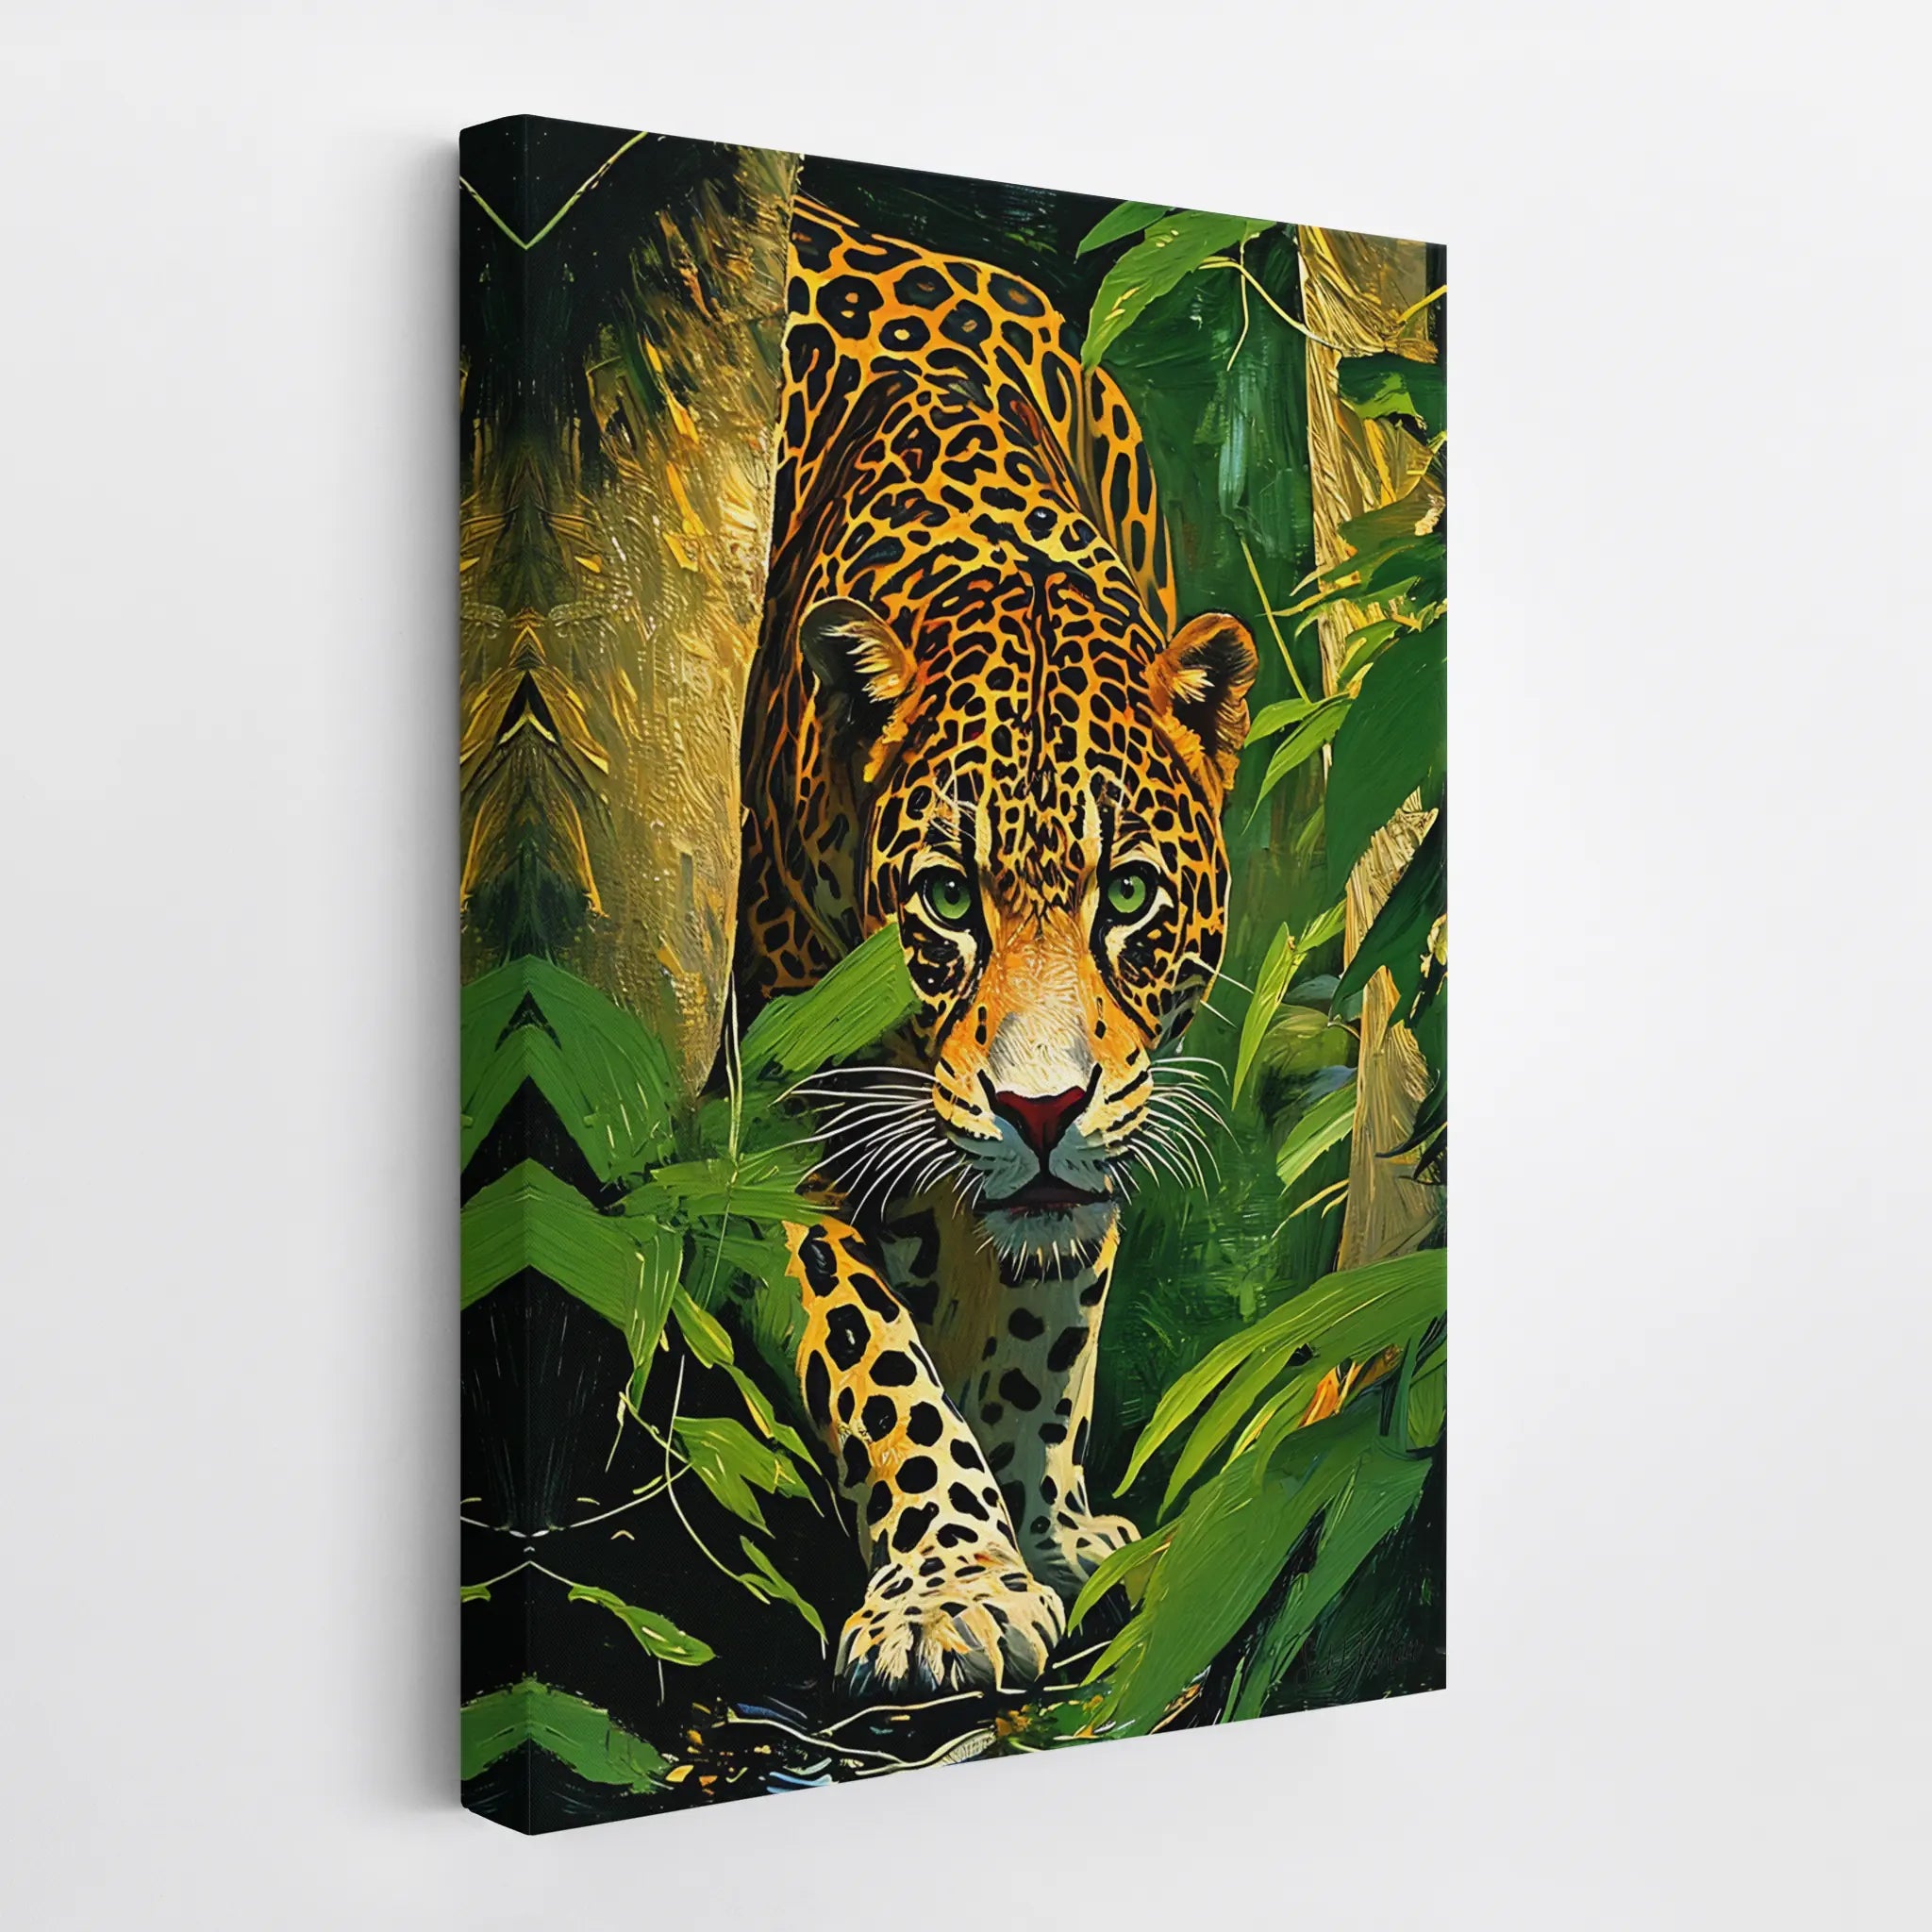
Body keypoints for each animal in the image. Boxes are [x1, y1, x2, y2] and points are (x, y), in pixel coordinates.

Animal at [736, 194, 1257, 1700]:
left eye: (1127, 896)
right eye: (948, 900)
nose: (1039, 1108)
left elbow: (1049, 1313)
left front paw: (1041, 1523)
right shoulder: (779, 1103)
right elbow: (868, 1345)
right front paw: (954, 1585)